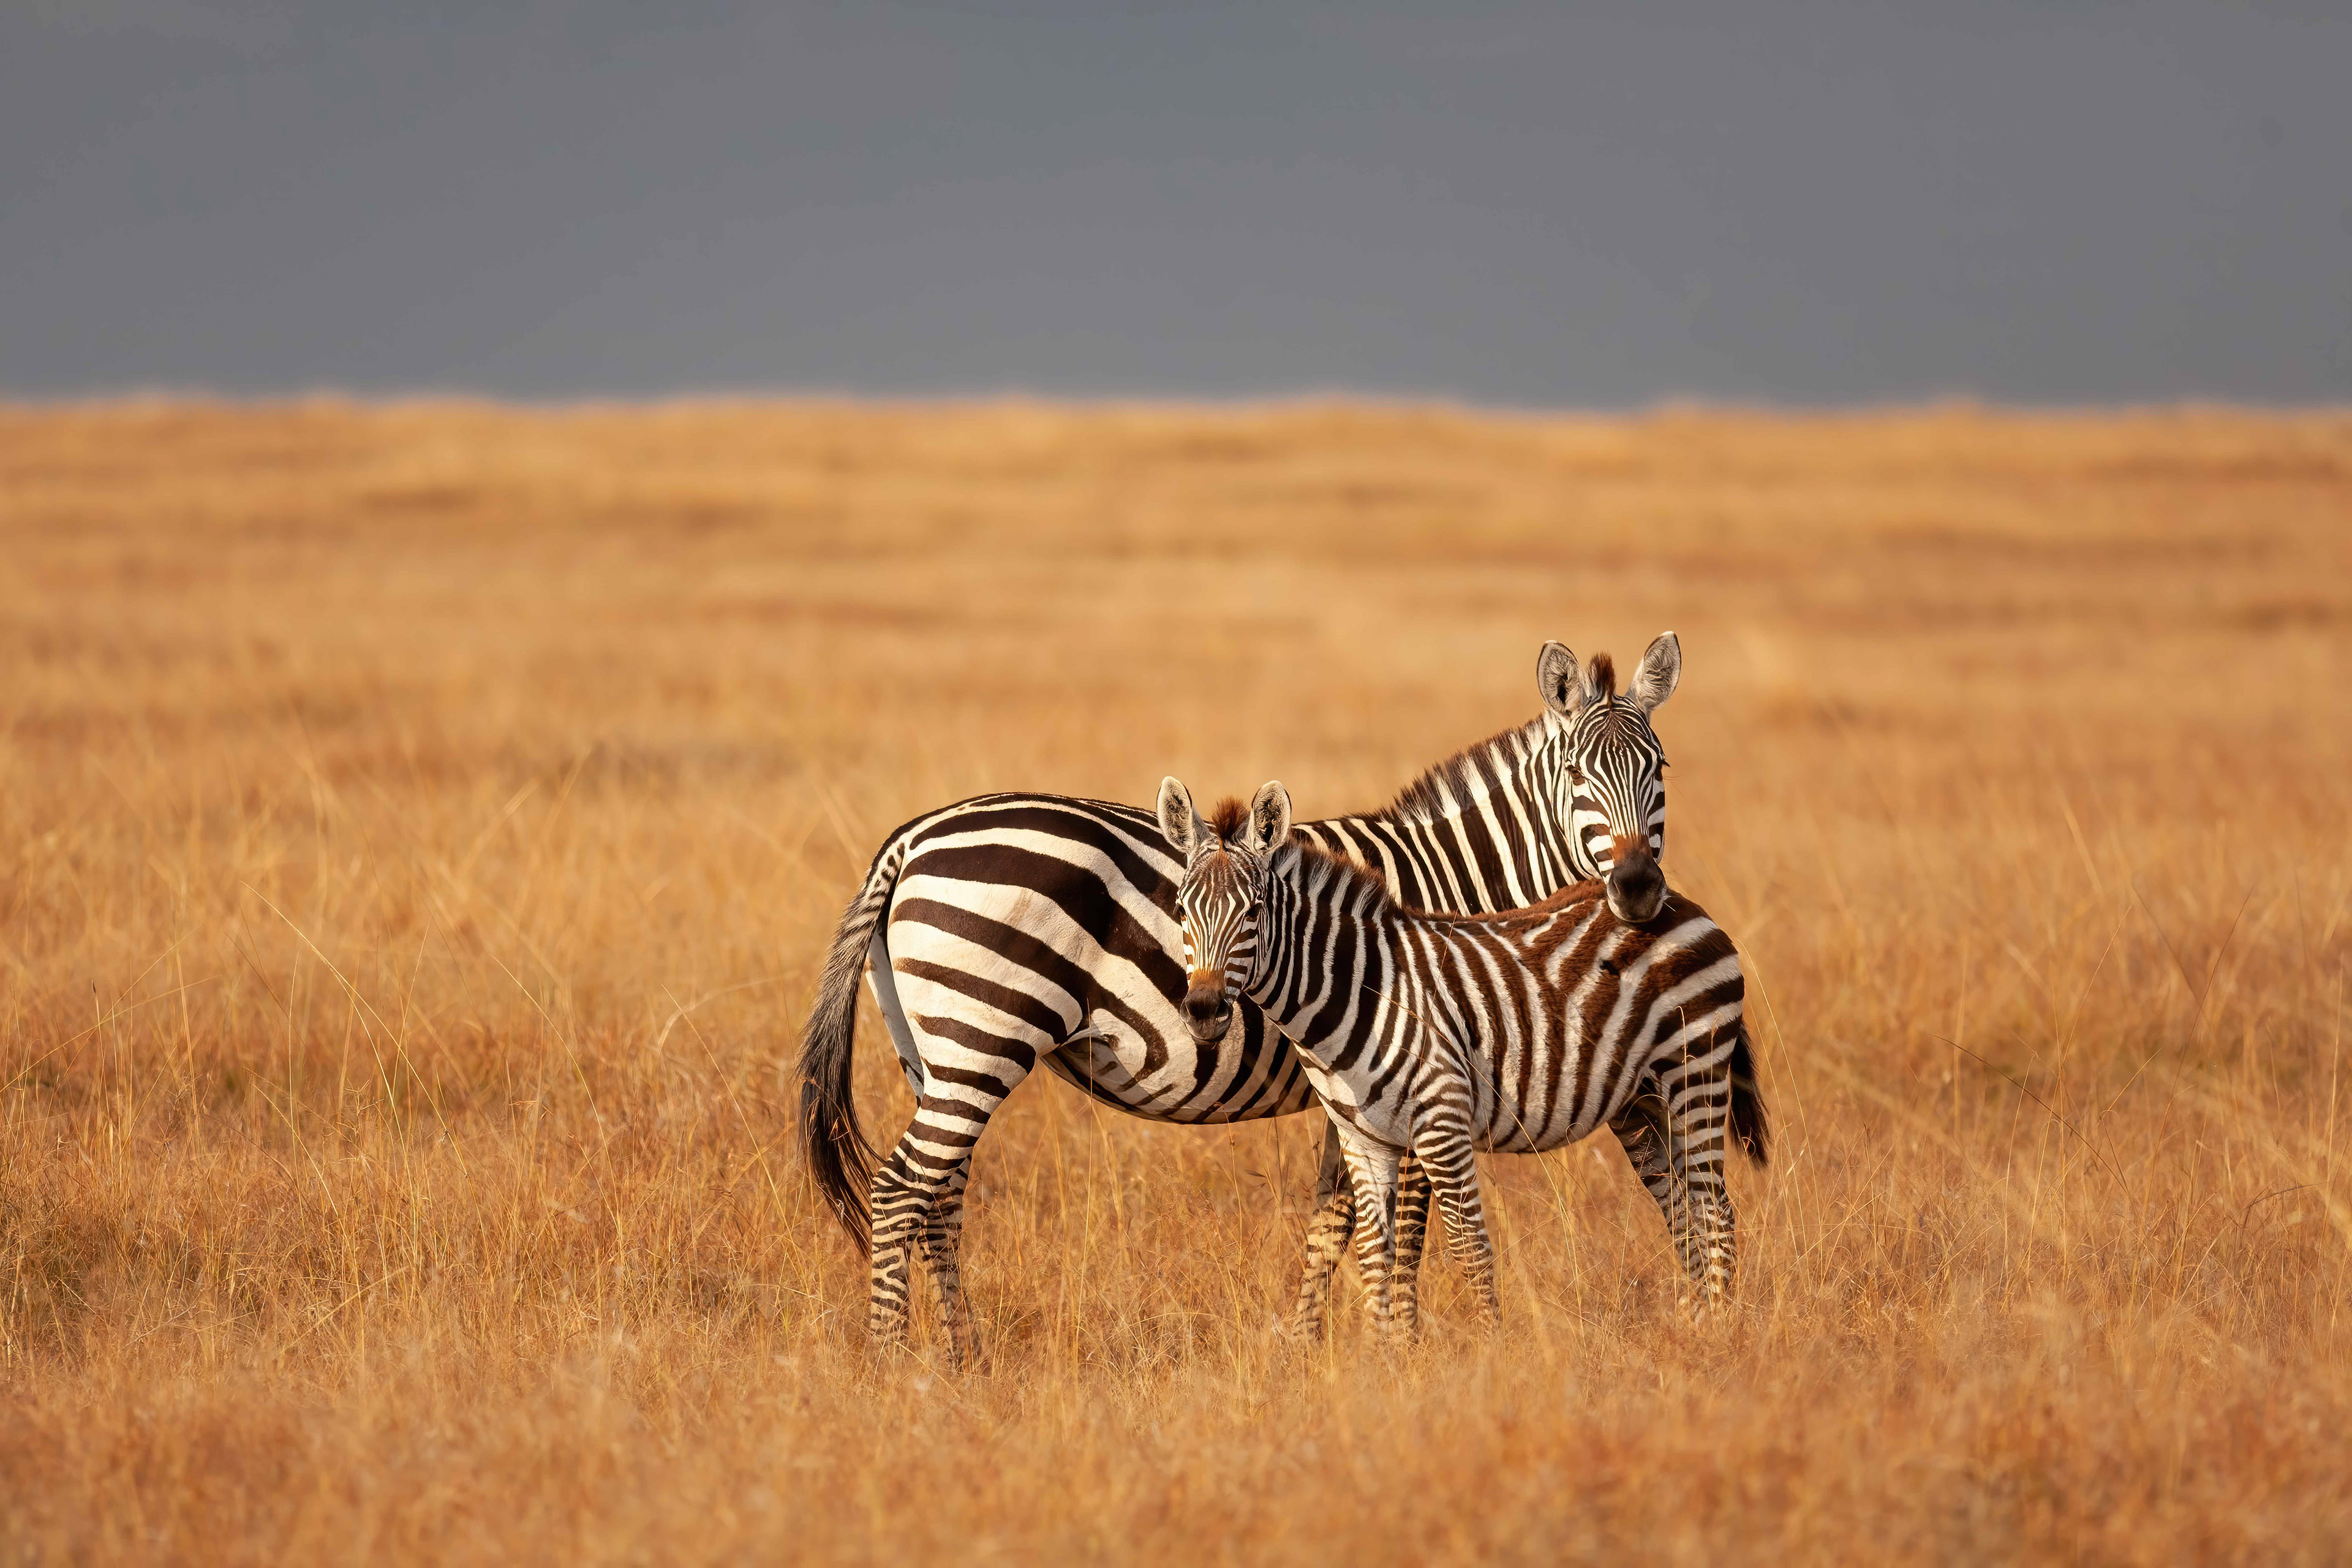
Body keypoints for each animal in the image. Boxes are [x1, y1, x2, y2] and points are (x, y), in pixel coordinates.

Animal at [797, 635, 1684, 1363]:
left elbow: (1335, 1220)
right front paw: (1400, 1344)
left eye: (1661, 770)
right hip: (984, 1034)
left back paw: (962, 1354)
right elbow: (1403, 1223)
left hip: (935, 1048)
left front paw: (1312, 1346)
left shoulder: (1365, 1080)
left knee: (939, 1194)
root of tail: (913, 837)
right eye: (1576, 775)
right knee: (901, 1189)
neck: (1451, 877)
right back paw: (894, 1361)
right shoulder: (1420, 1066)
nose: (1639, 889)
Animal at [1158, 767, 1768, 1335]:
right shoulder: (1363, 1138)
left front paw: (1492, 1355)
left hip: (1696, 1069)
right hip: (1640, 1098)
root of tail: (1681, 904)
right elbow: (1376, 1256)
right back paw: (1694, 1326)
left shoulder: (1441, 1122)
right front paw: (1385, 1361)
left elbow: (1468, 1247)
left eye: (1254, 911)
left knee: (1713, 1209)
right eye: (1182, 910)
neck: (1362, 989)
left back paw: (1720, 1335)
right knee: (1683, 1208)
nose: (1204, 1010)